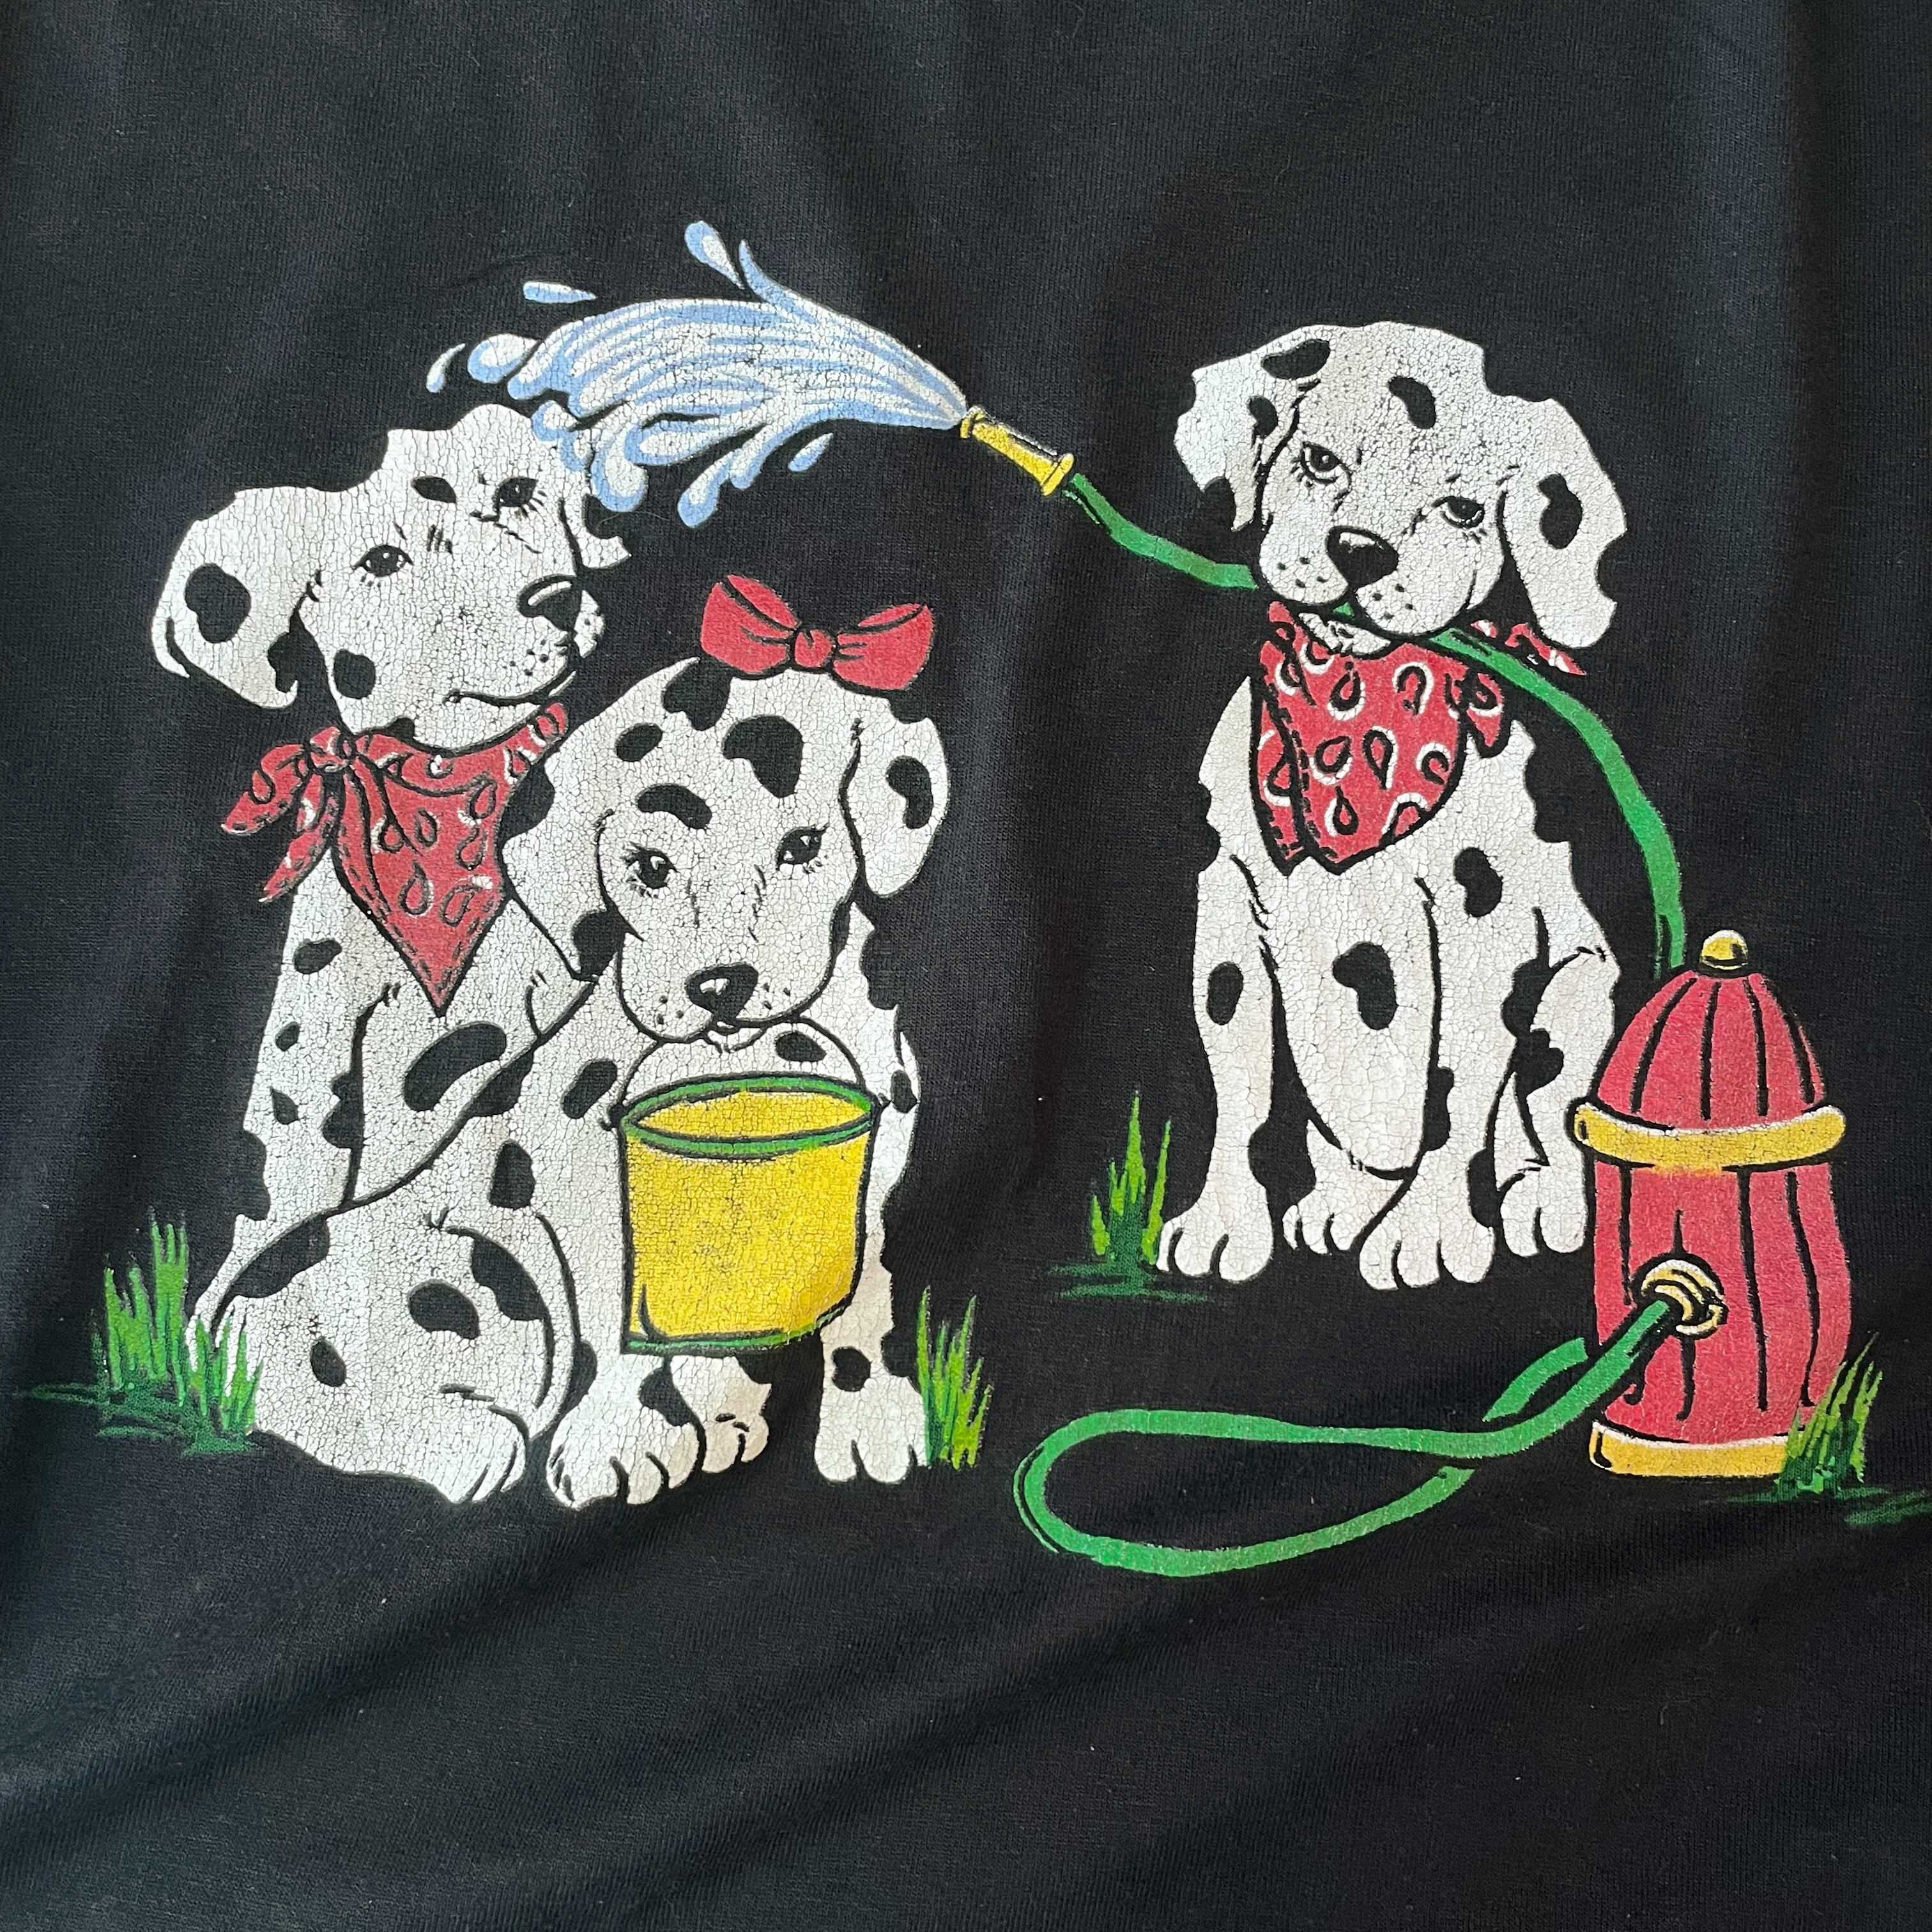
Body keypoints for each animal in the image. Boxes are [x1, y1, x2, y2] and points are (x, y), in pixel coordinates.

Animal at [206, 625, 949, 1506]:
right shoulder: (590, 1196)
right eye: (650, 867)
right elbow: (615, 1330)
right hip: (481, 1272)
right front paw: (619, 1443)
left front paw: (868, 1418)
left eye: (804, 847)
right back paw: (464, 1443)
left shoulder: (872, 1180)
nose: (719, 987)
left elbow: (860, 1302)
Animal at [1156, 323, 1626, 1290]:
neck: (1352, 705)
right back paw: (1343, 1205)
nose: (1361, 551)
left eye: (1462, 510)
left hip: (1575, 998)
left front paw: (1433, 1231)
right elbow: (1239, 1086)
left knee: (1550, 1122)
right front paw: (1226, 1220)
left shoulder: (1485, 938)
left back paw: (1543, 1202)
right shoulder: (1228, 917)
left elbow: (1455, 1094)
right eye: (1320, 460)